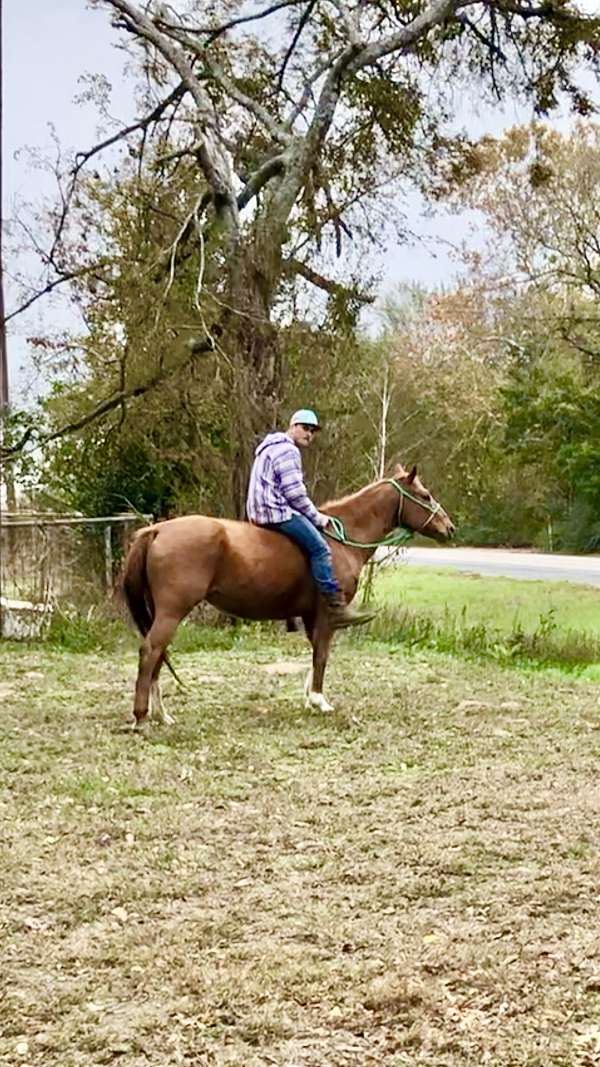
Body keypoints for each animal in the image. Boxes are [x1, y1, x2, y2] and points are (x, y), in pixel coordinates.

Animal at [122, 460, 452, 725]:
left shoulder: (310, 615)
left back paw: (162, 715)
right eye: (424, 496)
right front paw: (319, 700)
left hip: (161, 612)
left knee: (158, 654)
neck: (341, 538)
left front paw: (309, 698)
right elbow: (322, 655)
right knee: (150, 651)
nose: (449, 527)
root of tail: (157, 530)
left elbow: (316, 652)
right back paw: (142, 717)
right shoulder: (327, 613)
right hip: (172, 611)